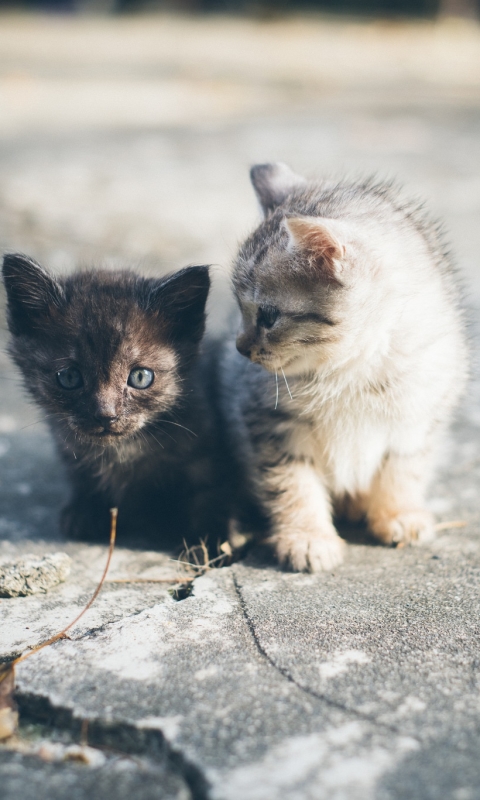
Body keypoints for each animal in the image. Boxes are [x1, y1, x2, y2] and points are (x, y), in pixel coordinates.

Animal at [3, 256, 223, 552]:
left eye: (140, 377)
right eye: (69, 377)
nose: (106, 415)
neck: (122, 451)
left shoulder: (205, 450)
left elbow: (209, 494)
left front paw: (208, 543)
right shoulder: (67, 446)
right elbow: (81, 475)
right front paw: (85, 510)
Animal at [219, 162, 466, 572]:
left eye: (268, 316)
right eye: (239, 308)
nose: (240, 348)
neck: (350, 371)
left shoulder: (418, 414)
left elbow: (404, 468)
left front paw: (398, 513)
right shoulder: (272, 423)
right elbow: (292, 482)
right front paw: (307, 537)